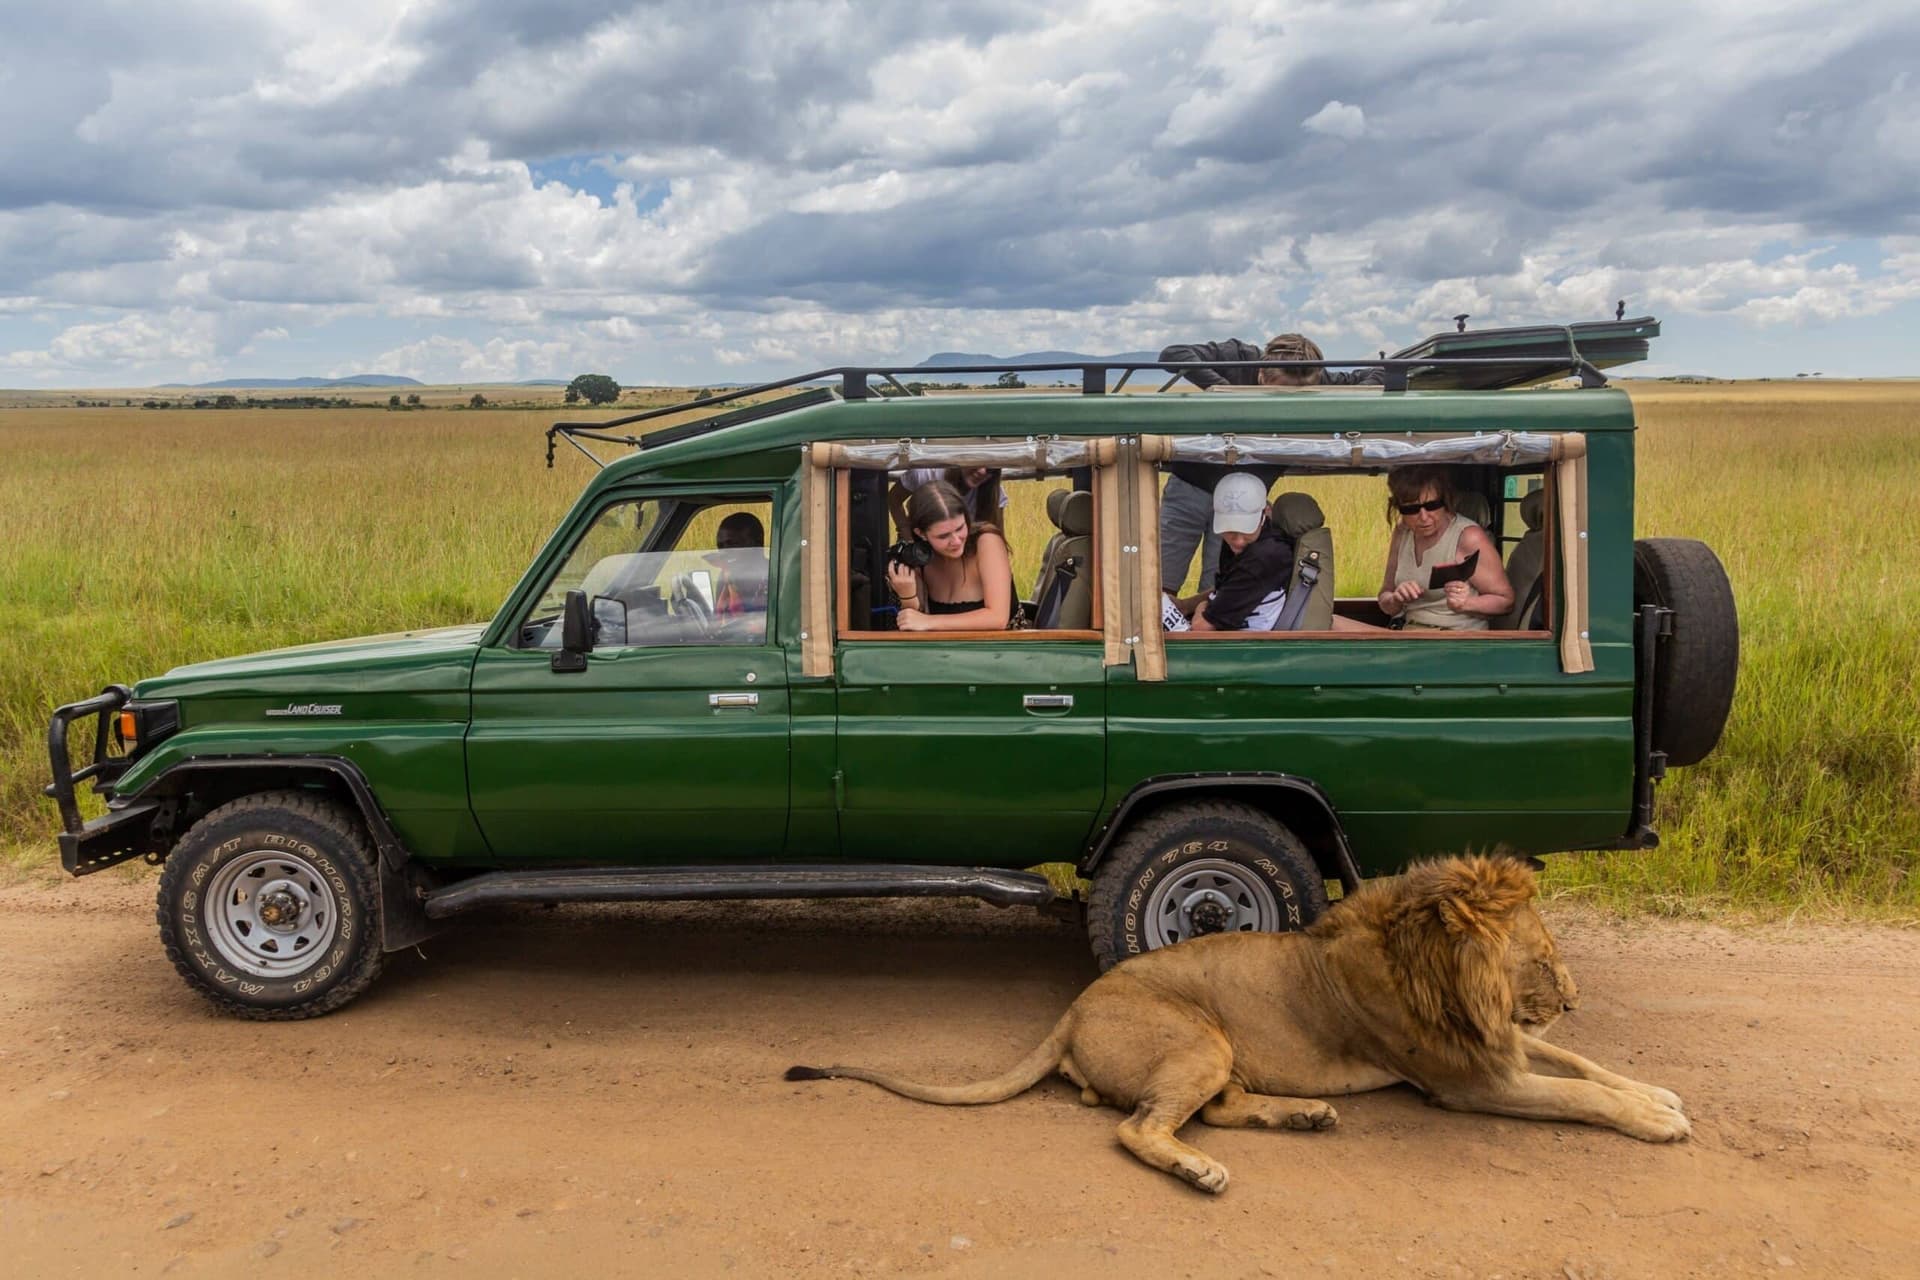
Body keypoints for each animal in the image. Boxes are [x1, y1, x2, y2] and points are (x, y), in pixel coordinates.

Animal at [786, 856, 1688, 1193]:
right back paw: (1201, 1171)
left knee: (1214, 1110)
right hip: (1200, 1038)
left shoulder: (1496, 1046)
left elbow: (1587, 1068)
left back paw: (1307, 1116)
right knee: (1142, 1129)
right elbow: (1580, 1096)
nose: (1572, 996)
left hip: (1216, 1056)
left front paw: (1662, 1095)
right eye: (1542, 957)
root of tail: (1071, 1011)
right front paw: (1657, 1122)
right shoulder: (1468, 1081)